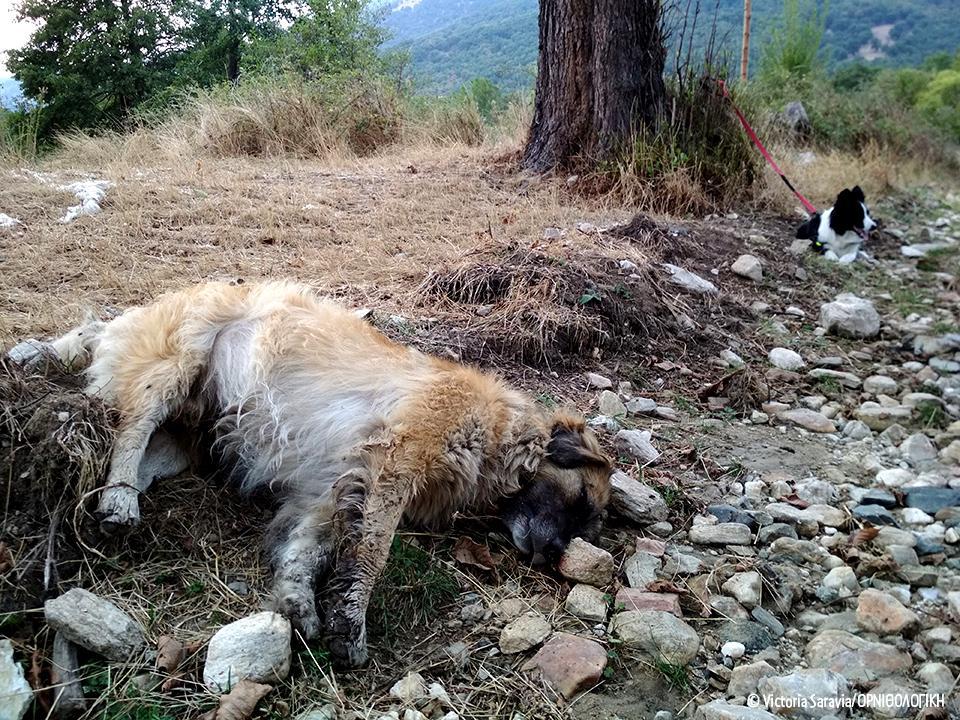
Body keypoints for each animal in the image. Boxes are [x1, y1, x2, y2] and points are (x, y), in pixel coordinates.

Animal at [20, 282, 616, 668]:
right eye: (582, 501)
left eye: (586, 523)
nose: (552, 557)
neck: (498, 432)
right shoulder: (394, 463)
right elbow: (369, 557)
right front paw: (349, 624)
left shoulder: (334, 487)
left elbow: (306, 547)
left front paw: (297, 602)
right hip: (177, 362)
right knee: (130, 429)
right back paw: (119, 501)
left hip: (188, 439)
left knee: (139, 451)